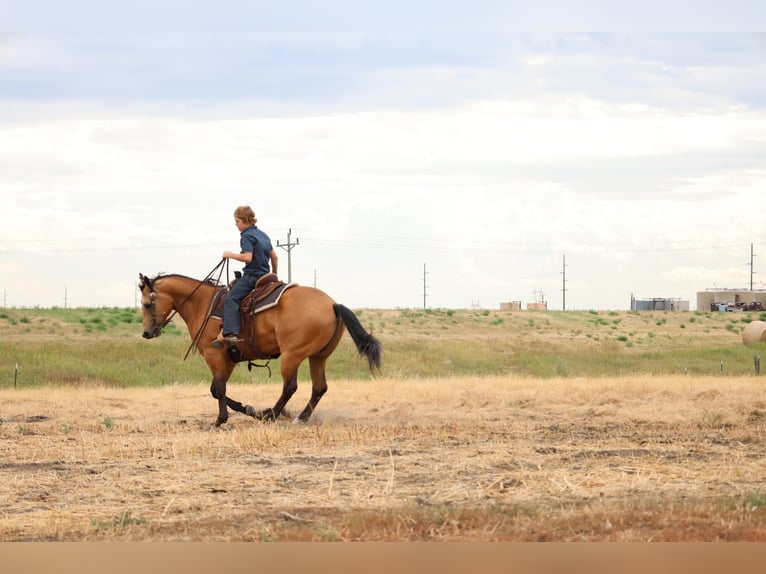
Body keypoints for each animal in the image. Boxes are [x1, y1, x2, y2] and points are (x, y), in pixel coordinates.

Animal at [138, 272, 382, 427]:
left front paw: (222, 419)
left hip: (291, 356)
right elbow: (217, 389)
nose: (146, 333)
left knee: (290, 387)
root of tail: (332, 304)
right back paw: (299, 417)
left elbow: (218, 389)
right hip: (318, 356)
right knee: (319, 388)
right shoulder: (228, 359)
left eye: (147, 304)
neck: (203, 304)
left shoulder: (214, 356)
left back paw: (271, 414)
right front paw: (248, 409)